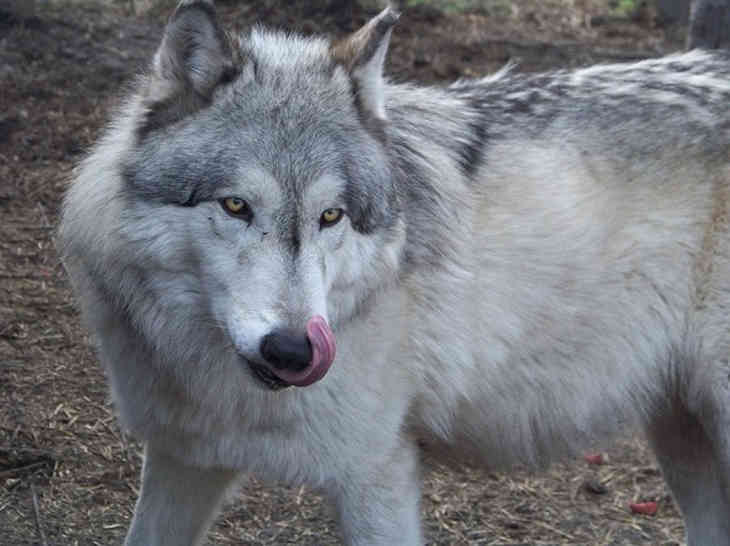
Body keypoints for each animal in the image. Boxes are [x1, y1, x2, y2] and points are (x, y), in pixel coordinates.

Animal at [58, 0, 730, 540]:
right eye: (236, 206)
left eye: (331, 216)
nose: (294, 351)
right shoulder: (186, 458)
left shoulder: (375, 475)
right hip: (683, 435)